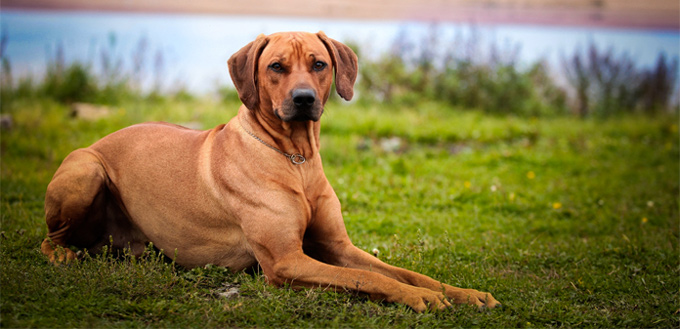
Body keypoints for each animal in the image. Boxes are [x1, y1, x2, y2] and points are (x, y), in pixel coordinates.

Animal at [42, 30, 500, 310]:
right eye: (276, 66)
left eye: (319, 64)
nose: (303, 99)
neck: (294, 158)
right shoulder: (285, 262)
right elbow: (370, 280)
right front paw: (419, 298)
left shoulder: (339, 247)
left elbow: (406, 272)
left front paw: (463, 293)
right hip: (86, 169)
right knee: (50, 240)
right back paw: (63, 254)